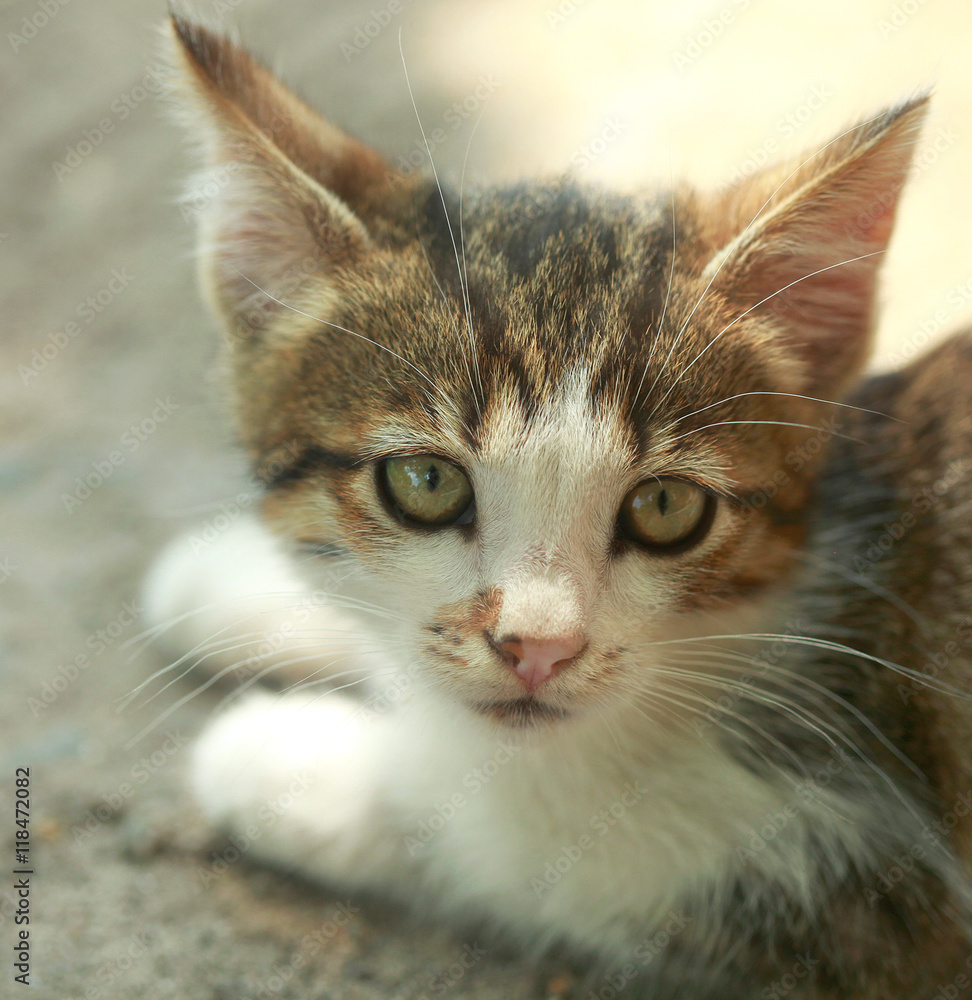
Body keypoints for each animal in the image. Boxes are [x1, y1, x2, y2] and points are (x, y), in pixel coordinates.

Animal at [148, 15, 972, 1000]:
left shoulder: (860, 894)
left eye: (665, 506)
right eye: (425, 484)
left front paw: (282, 759)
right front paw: (222, 579)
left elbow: (516, 838)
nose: (537, 649)